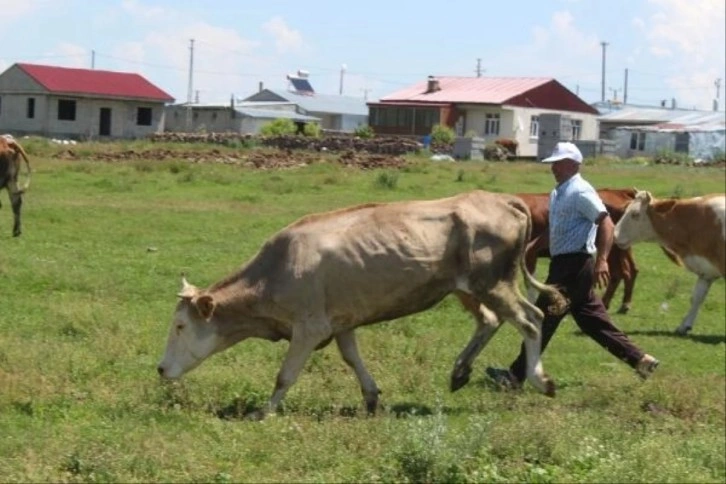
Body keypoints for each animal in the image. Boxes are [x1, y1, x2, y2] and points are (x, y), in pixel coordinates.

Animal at [158, 191, 568, 418]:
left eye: (180, 326)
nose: (161, 369)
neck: (274, 273)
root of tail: (501, 198)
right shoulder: (341, 323)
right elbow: (352, 358)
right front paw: (371, 398)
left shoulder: (309, 327)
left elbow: (285, 375)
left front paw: (265, 411)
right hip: (468, 287)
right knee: (489, 320)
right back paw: (459, 371)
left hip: (493, 282)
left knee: (530, 318)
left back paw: (540, 380)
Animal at [516, 189, 644, 314]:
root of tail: (619, 191)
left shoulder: (529, 255)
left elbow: (530, 282)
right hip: (621, 247)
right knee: (628, 271)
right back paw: (616, 304)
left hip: (614, 249)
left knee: (622, 272)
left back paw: (619, 304)